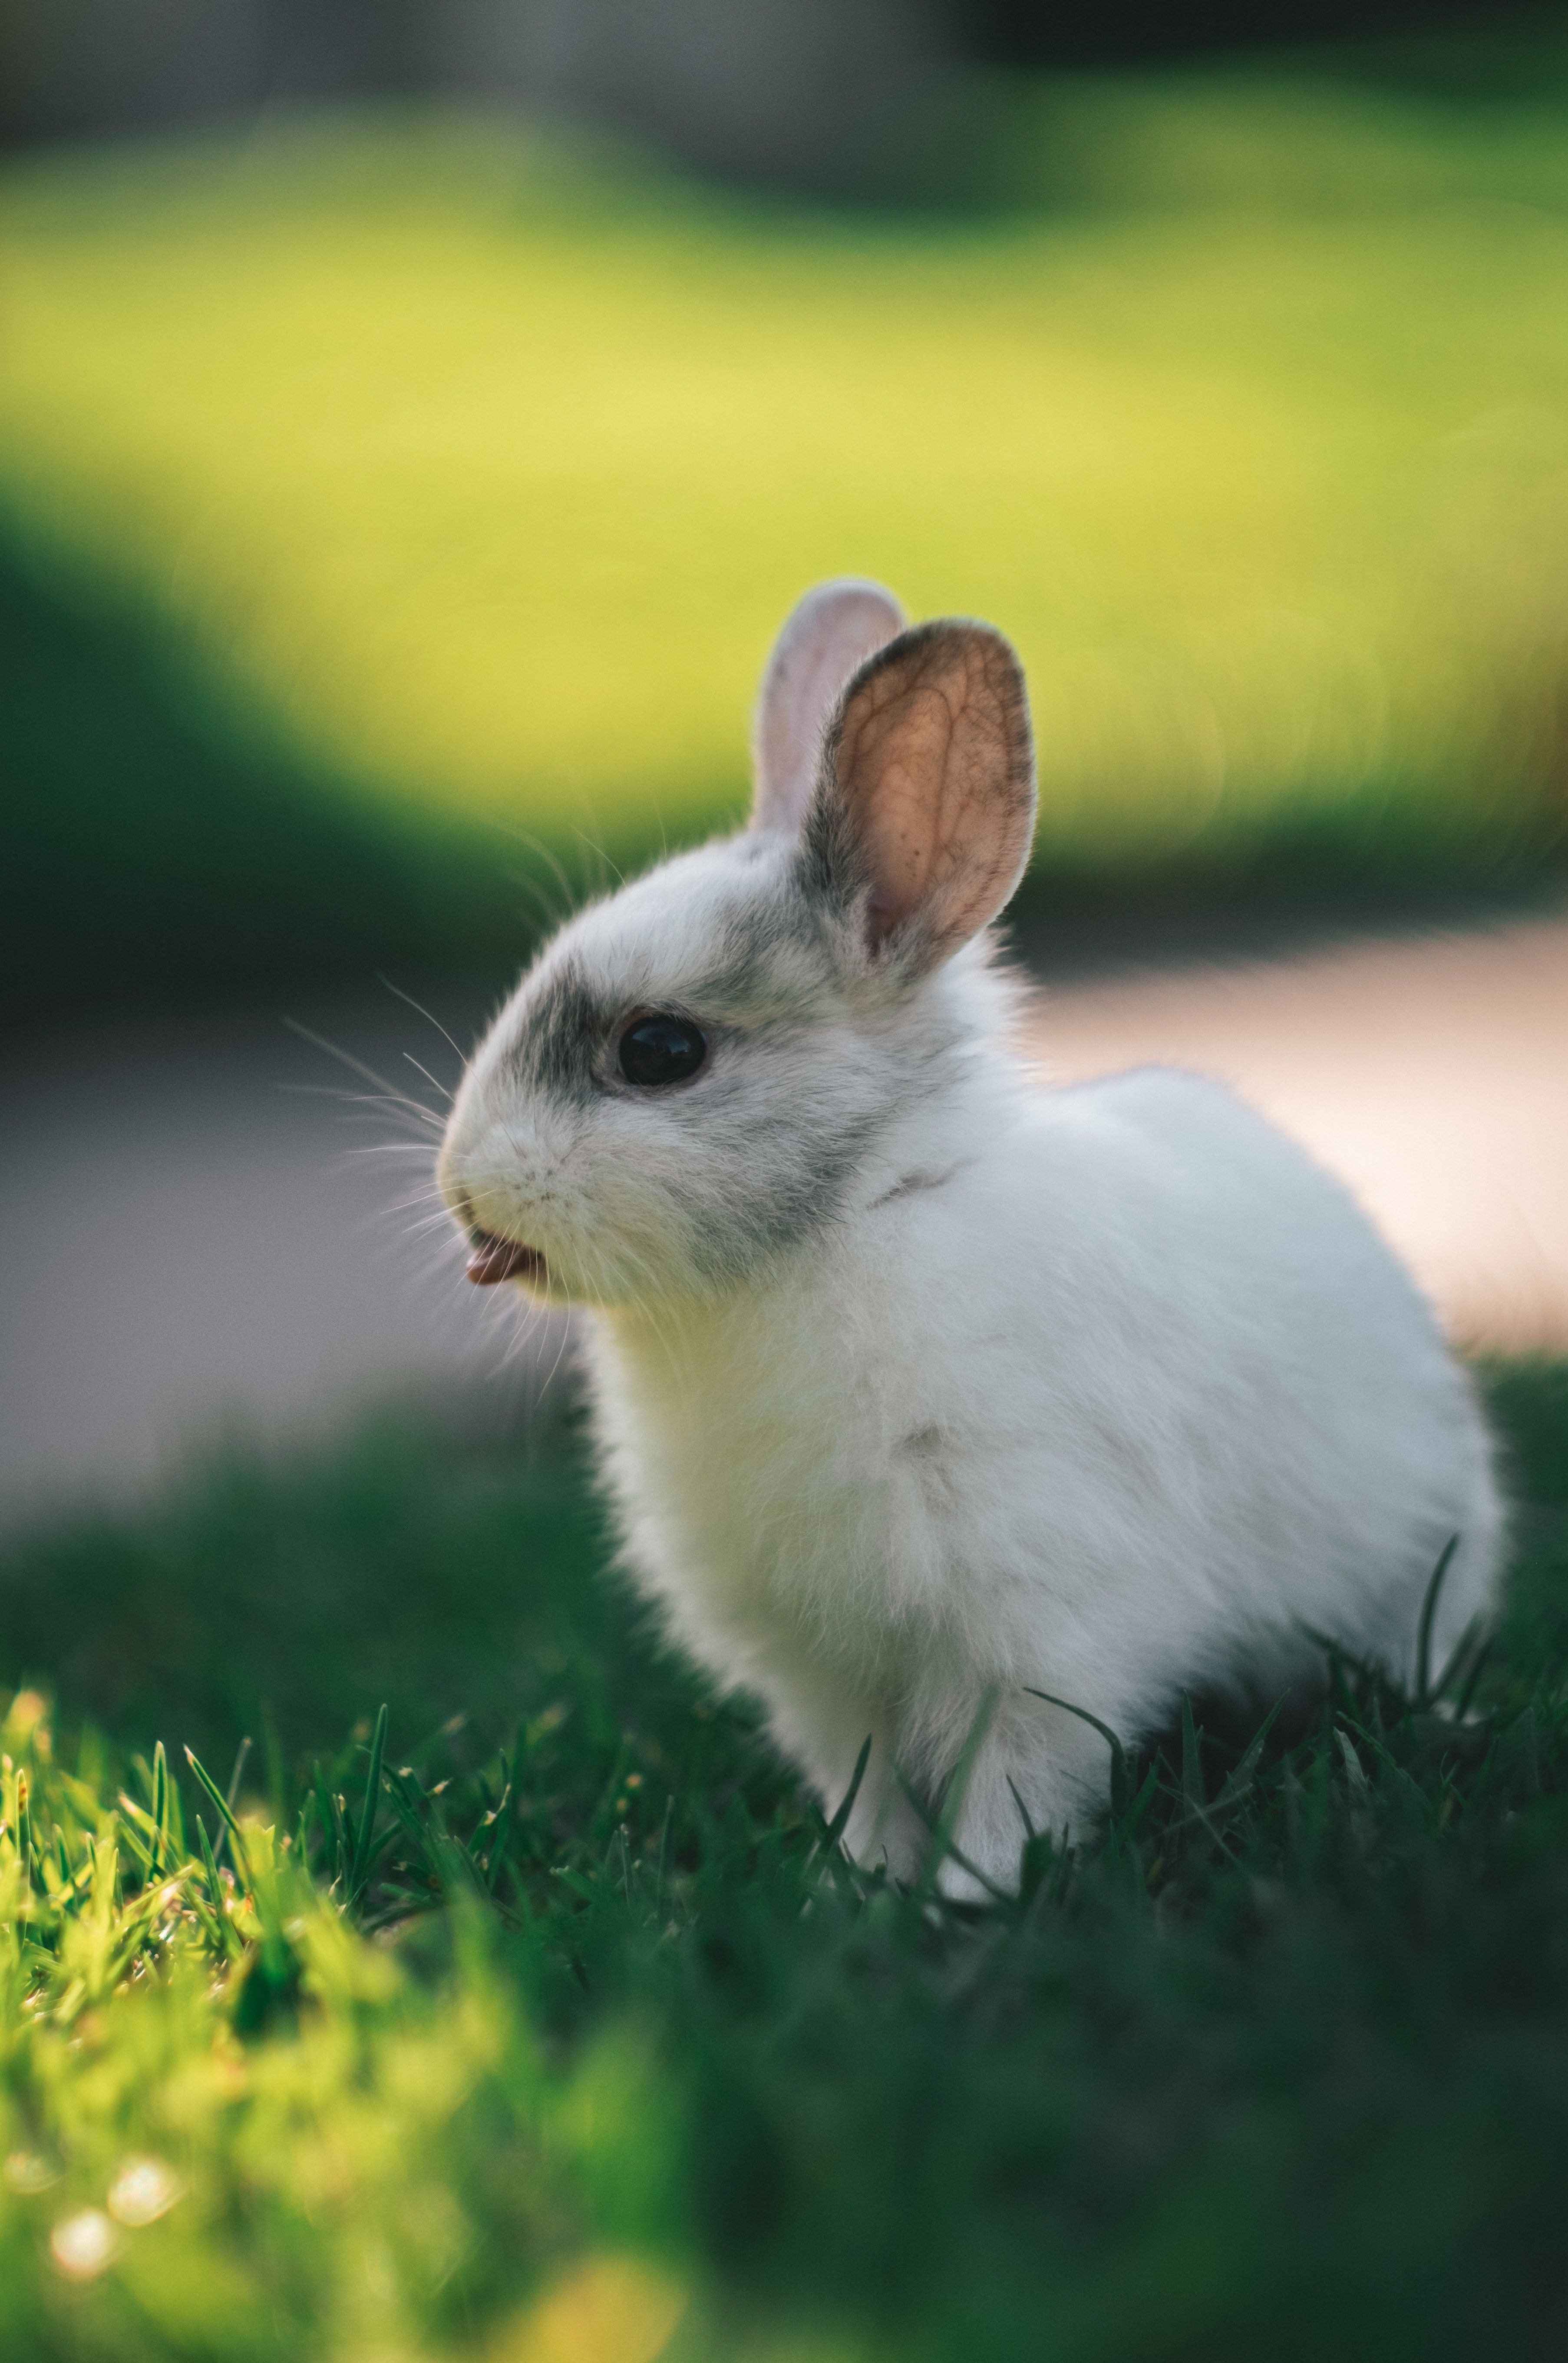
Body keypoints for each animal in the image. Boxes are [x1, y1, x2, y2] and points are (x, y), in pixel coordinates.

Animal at [437, 577, 1503, 1893]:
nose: (464, 1195)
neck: (848, 1220)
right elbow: (867, 1785)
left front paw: (974, 1897)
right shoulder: (828, 1677)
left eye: (659, 1050)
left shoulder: (1035, 1631)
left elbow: (1013, 1782)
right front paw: (862, 1888)